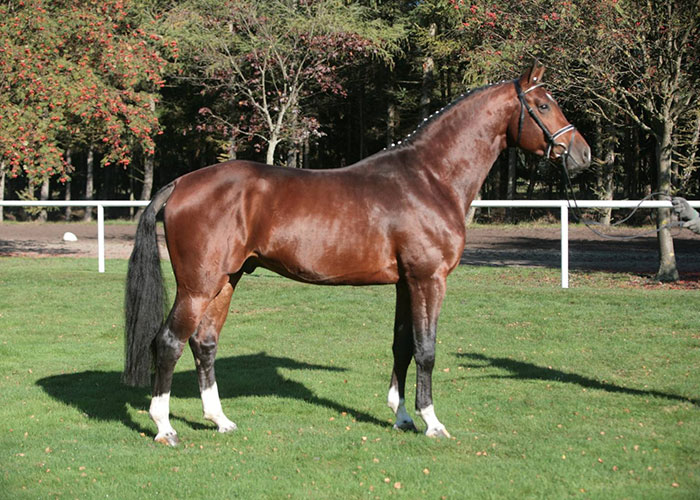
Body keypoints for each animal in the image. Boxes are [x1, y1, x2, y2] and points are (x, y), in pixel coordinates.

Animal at [123, 61, 591, 446]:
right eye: (544, 105)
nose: (583, 153)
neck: (430, 178)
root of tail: (181, 183)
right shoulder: (429, 279)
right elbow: (426, 349)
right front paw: (432, 422)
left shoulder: (406, 283)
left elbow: (402, 346)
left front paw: (401, 418)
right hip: (198, 286)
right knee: (168, 342)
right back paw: (165, 428)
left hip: (226, 281)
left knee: (204, 343)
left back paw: (219, 420)